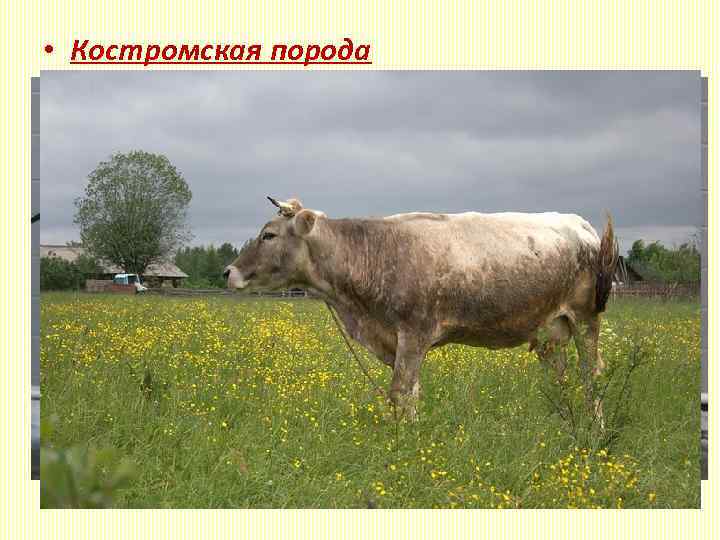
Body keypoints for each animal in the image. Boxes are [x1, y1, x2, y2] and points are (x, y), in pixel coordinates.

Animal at [224, 197, 618, 422]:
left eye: (269, 235)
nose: (228, 272)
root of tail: (579, 223)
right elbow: (411, 393)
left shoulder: (414, 333)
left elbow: (400, 392)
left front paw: (404, 447)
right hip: (552, 330)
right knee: (561, 377)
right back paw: (562, 421)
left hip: (586, 319)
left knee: (592, 375)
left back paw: (594, 427)